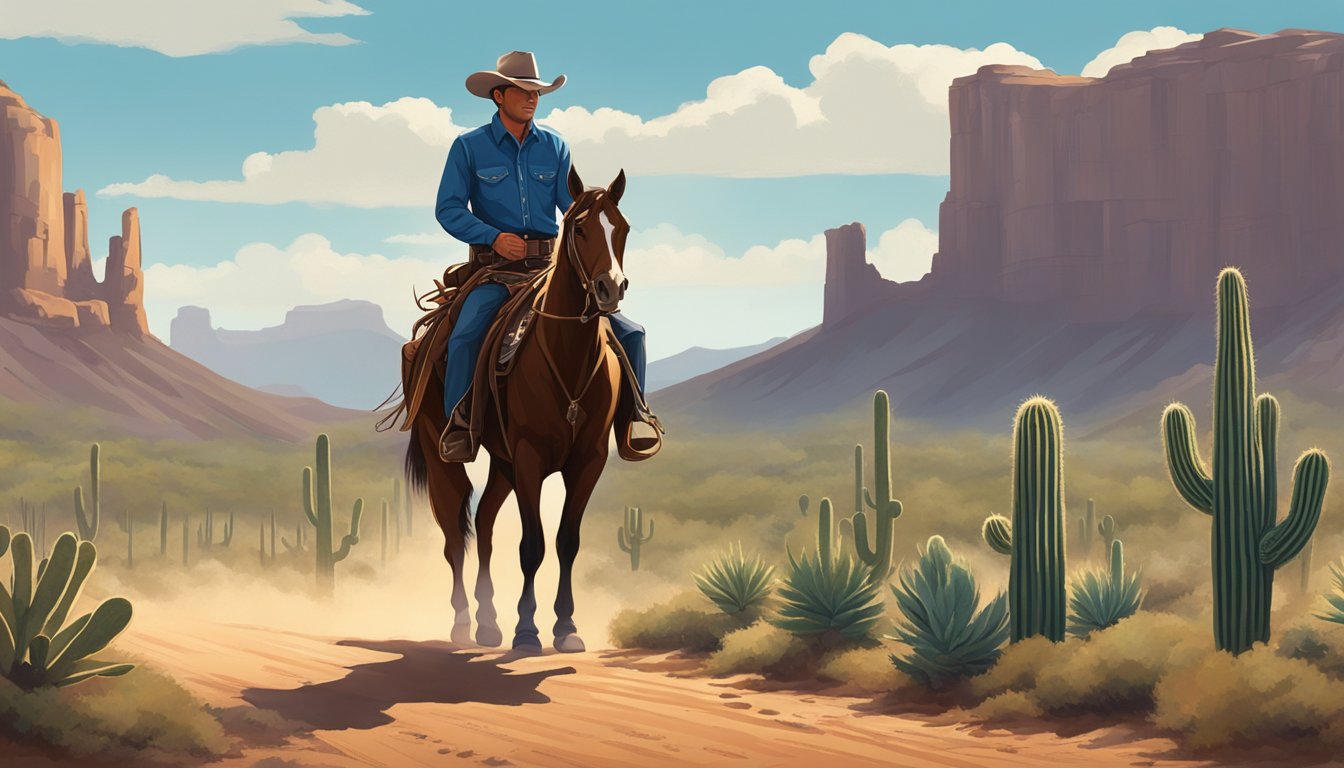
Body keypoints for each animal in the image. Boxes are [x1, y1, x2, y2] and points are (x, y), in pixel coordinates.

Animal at [403, 165, 628, 650]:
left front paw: (566, 628)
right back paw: (462, 624)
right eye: (579, 229)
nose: (610, 288)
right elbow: (532, 545)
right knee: (455, 532)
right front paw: (527, 630)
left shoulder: (588, 460)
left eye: (622, 227)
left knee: (485, 524)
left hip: (502, 461)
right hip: (441, 449)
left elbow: (566, 542)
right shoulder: (529, 457)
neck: (566, 355)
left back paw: (489, 623)